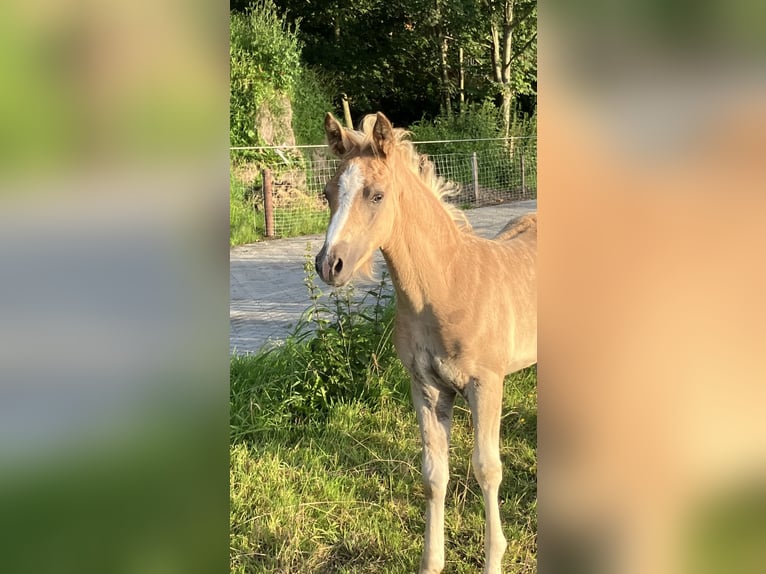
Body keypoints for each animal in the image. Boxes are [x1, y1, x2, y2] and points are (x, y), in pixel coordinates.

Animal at [316, 112, 536, 574]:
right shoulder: (427, 388)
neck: (447, 286)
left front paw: (494, 557)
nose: (329, 264)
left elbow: (487, 469)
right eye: (327, 193)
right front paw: (432, 561)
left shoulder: (486, 384)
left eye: (376, 195)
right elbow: (435, 474)